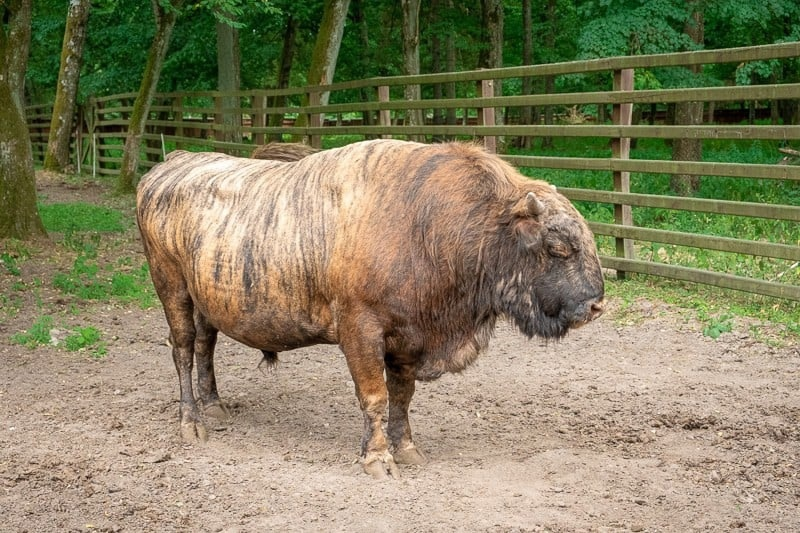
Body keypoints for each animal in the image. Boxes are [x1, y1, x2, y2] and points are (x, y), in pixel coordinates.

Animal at [138, 138, 604, 478]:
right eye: (559, 247)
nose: (596, 304)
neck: (431, 225)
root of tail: (170, 164)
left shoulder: (407, 340)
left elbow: (402, 397)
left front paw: (408, 449)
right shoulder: (361, 333)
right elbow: (375, 397)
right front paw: (378, 460)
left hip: (206, 300)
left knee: (206, 346)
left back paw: (215, 406)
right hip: (172, 289)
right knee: (183, 349)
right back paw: (192, 423)